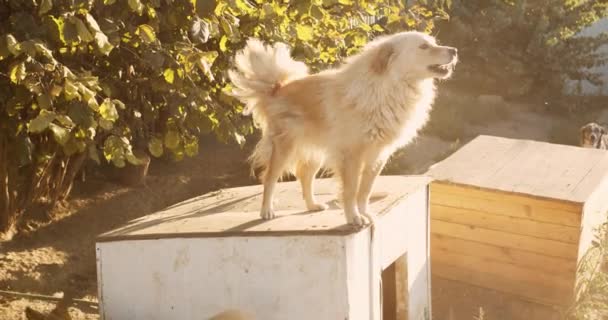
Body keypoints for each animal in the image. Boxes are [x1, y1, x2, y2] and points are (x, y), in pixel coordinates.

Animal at [230, 30, 458, 225]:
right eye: (423, 47)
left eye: (434, 42)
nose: (454, 50)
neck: (390, 87)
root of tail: (278, 88)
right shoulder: (351, 155)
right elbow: (351, 190)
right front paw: (354, 218)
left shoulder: (377, 156)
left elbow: (365, 190)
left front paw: (365, 214)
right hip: (285, 148)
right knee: (269, 178)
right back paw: (267, 211)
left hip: (317, 152)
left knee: (304, 175)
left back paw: (312, 205)